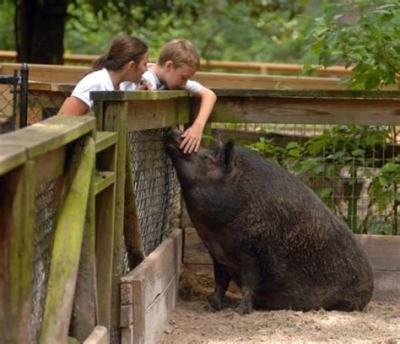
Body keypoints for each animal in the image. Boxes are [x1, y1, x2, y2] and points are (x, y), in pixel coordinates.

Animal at [165, 129, 372, 314]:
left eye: (207, 158)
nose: (174, 131)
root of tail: (371, 286)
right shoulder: (218, 254)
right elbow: (220, 282)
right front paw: (210, 306)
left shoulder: (251, 250)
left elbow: (249, 282)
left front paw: (238, 311)